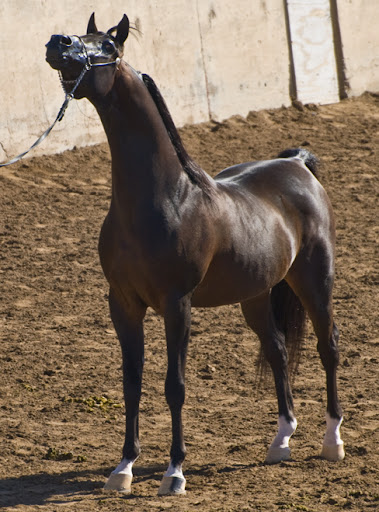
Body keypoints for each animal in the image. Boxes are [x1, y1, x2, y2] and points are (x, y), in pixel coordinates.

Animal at [46, 14, 346, 496]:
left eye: (106, 44)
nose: (58, 42)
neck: (166, 198)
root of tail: (298, 164)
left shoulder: (176, 304)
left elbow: (175, 386)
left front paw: (174, 472)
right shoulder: (123, 303)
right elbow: (131, 383)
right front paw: (123, 468)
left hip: (315, 281)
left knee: (328, 346)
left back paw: (332, 441)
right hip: (256, 295)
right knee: (278, 351)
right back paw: (280, 440)